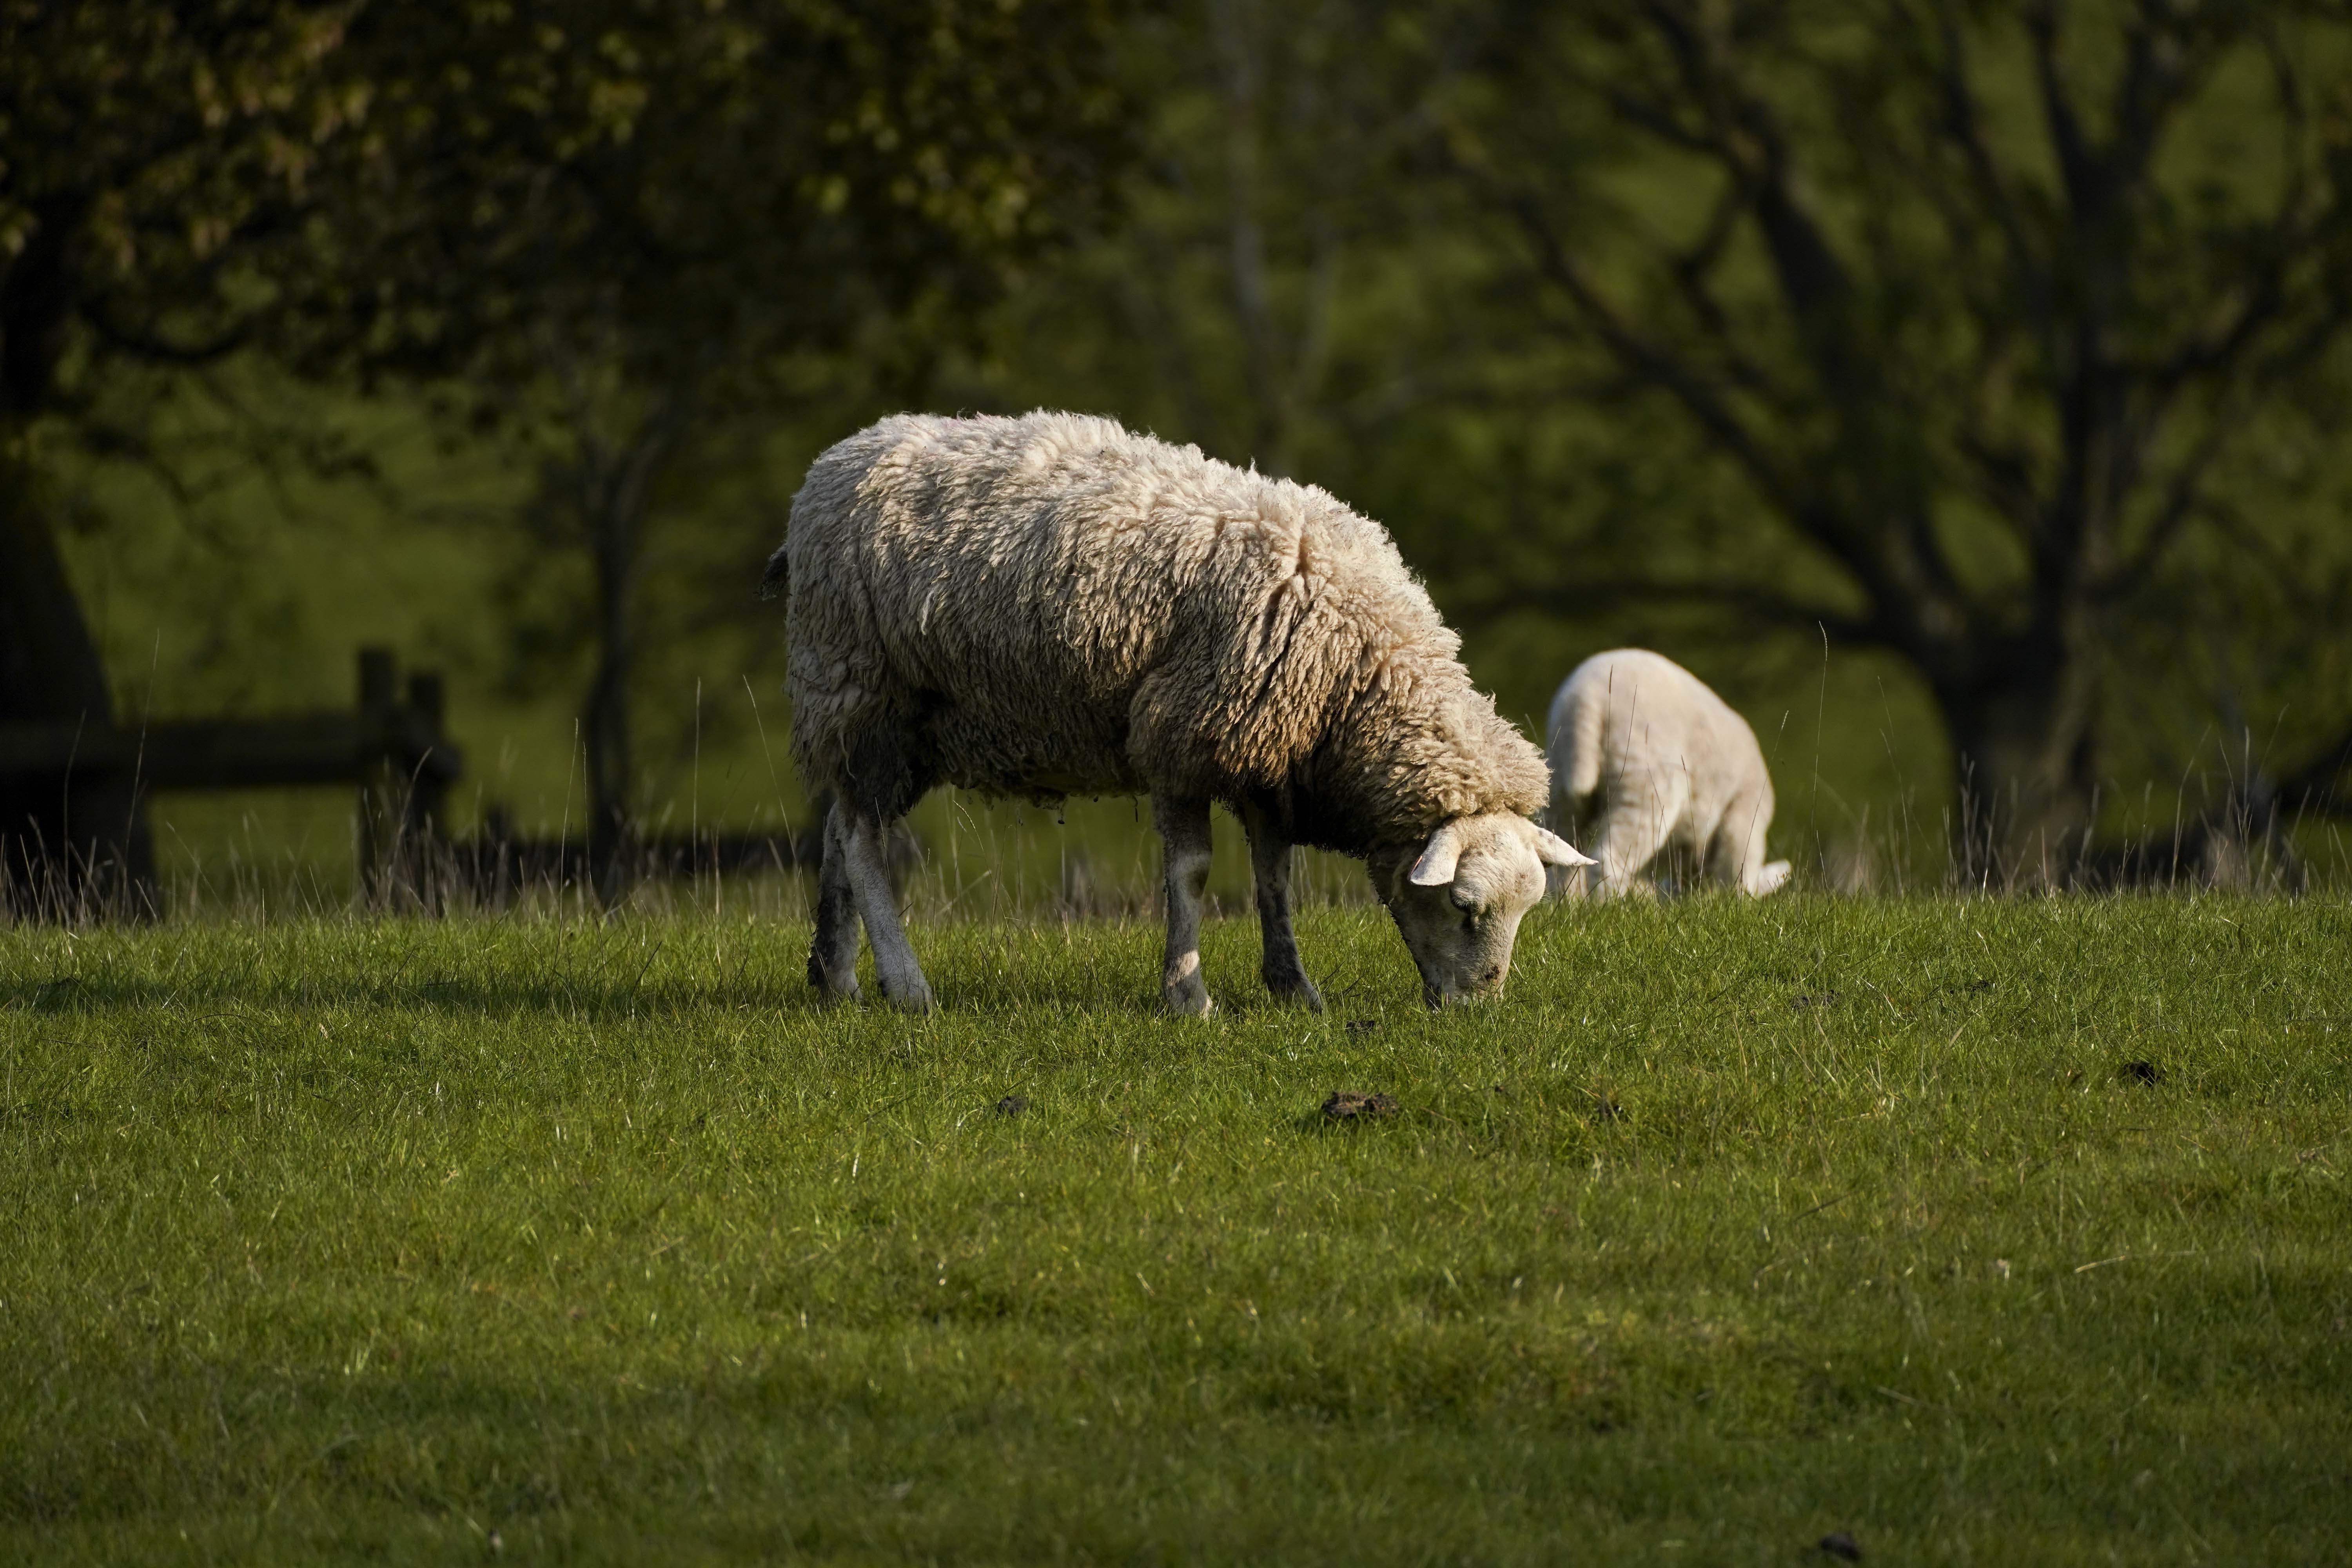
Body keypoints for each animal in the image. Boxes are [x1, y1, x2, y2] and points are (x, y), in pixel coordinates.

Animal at [762, 411, 1590, 1011]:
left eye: (1526, 910)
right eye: (1465, 906)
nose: (1480, 1008)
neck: (1355, 666)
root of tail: (832, 464)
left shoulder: (1265, 755)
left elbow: (1274, 873)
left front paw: (1294, 989)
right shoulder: (1183, 733)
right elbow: (1192, 873)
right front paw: (1188, 995)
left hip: (882, 722)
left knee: (839, 828)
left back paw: (834, 977)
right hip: (863, 691)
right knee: (865, 845)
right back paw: (907, 987)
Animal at [1543, 649, 1797, 893]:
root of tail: (1586, 700)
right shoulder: (1745, 814)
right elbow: (1737, 869)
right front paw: (1737, 900)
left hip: (1559, 780)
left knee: (1563, 857)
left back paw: (1569, 902)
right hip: (1643, 780)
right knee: (1610, 859)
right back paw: (1611, 903)